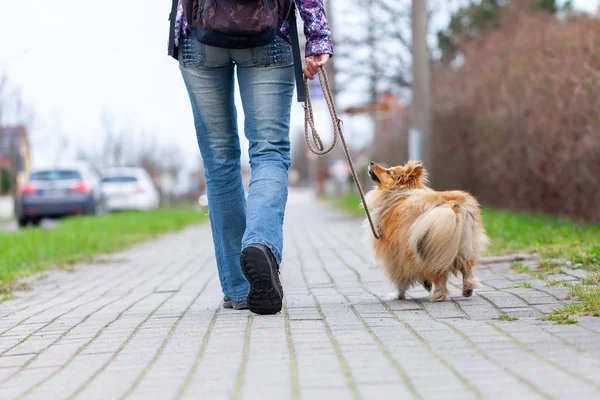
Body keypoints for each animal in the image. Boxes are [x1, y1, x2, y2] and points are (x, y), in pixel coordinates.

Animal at [364, 161, 490, 302]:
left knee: (440, 276)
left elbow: (400, 278)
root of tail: (450, 205)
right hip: (464, 245)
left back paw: (438, 296)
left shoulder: (395, 253)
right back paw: (467, 289)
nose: (371, 162)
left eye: (388, 171)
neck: (399, 192)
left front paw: (397, 295)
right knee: (466, 267)